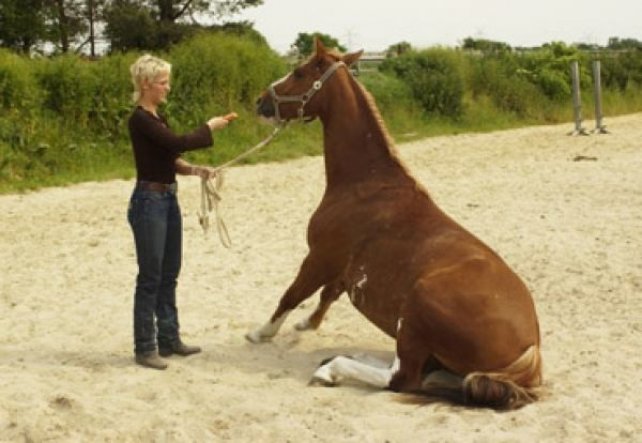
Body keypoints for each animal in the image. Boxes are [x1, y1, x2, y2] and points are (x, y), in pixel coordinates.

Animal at [245, 40, 540, 412]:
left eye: (298, 72)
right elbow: (327, 294)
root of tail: (531, 350)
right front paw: (306, 324)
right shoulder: (343, 267)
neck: (366, 183)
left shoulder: (320, 257)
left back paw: (332, 369)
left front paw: (261, 332)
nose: (261, 101)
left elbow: (292, 294)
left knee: (402, 378)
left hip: (416, 309)